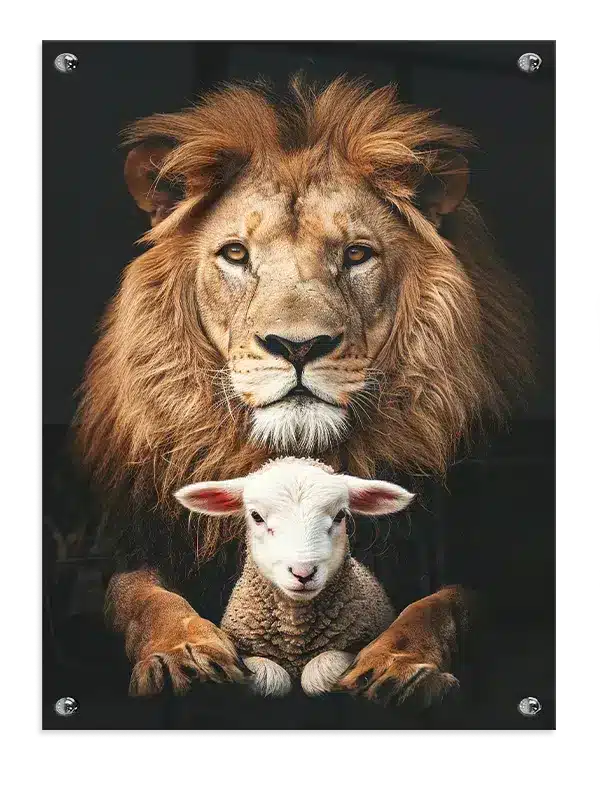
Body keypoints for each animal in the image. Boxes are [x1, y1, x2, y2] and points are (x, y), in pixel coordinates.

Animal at [76, 77, 530, 703]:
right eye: (236, 254)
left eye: (356, 254)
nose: (297, 346)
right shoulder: (128, 547)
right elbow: (141, 597)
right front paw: (182, 654)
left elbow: (441, 605)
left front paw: (397, 665)